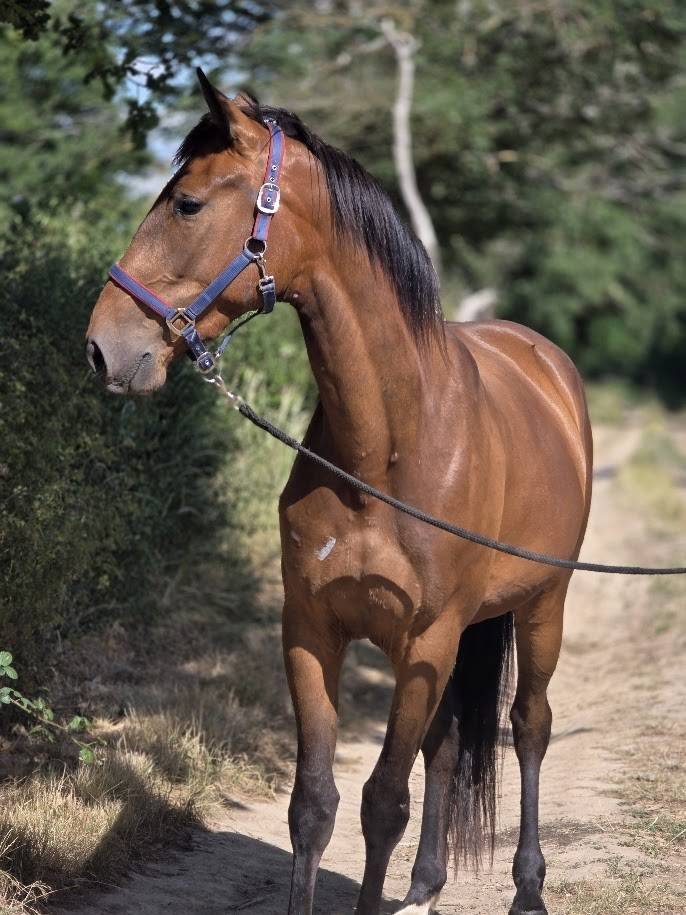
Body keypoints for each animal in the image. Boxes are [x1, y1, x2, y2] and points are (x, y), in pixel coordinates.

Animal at [86, 71, 592, 915]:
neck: (385, 448)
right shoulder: (312, 628)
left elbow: (382, 800)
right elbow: (315, 803)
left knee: (528, 726)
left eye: (186, 203)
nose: (101, 347)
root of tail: (545, 361)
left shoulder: (425, 640)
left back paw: (527, 888)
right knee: (448, 747)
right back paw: (423, 888)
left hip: (541, 606)